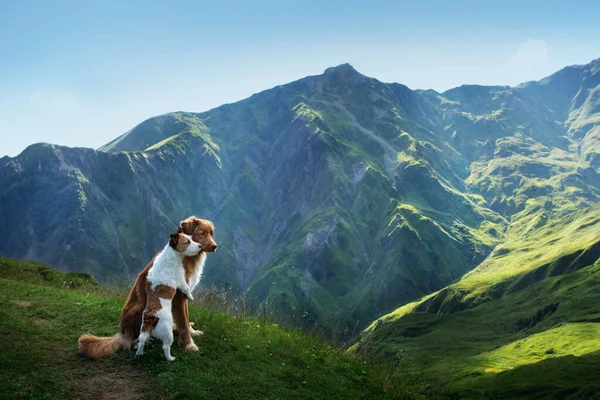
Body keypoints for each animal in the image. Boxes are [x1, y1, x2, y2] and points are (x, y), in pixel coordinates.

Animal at [78, 216, 217, 360]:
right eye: (202, 233)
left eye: (211, 234)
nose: (215, 246)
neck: (188, 259)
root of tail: (122, 334)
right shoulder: (178, 299)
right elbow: (183, 323)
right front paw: (190, 345)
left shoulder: (184, 298)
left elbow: (186, 319)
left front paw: (192, 332)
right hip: (139, 309)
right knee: (134, 341)